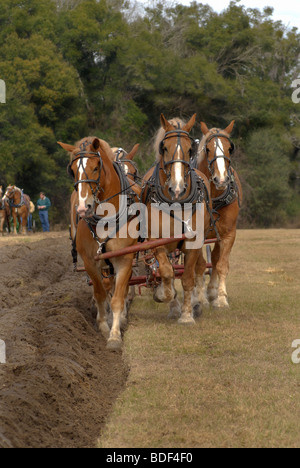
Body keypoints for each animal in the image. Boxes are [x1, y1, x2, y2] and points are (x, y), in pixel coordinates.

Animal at [59, 137, 142, 350]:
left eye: (96, 167)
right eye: (73, 170)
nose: (83, 207)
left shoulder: (124, 259)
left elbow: (118, 298)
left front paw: (115, 335)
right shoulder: (90, 261)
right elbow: (100, 293)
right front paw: (104, 326)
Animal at [142, 115, 212, 324]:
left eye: (190, 149)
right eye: (164, 148)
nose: (178, 188)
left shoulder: (193, 242)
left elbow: (188, 278)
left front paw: (187, 315)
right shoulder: (156, 241)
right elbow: (166, 272)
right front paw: (164, 294)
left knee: (197, 269)